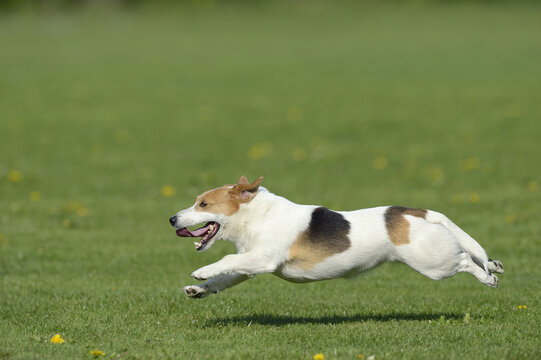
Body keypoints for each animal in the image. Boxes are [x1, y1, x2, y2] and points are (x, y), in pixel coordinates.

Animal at [169, 175, 502, 298]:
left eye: (203, 205)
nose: (172, 219)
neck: (256, 214)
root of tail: (417, 212)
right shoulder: (248, 264)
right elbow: (224, 276)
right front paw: (199, 289)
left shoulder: (263, 258)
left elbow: (224, 259)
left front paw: (200, 273)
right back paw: (493, 267)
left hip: (433, 263)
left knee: (465, 260)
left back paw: (488, 277)